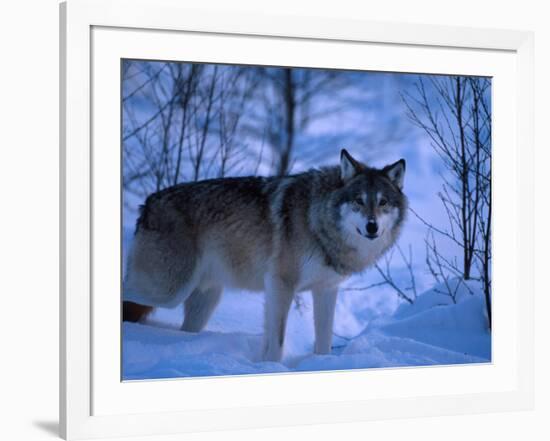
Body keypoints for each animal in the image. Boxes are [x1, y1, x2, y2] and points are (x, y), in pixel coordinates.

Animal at [125, 150, 410, 360]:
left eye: (383, 202)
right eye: (359, 201)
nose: (372, 226)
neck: (316, 221)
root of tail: (148, 203)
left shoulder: (326, 290)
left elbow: (324, 341)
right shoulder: (280, 284)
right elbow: (278, 341)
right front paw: (272, 367)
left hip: (203, 301)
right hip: (168, 291)